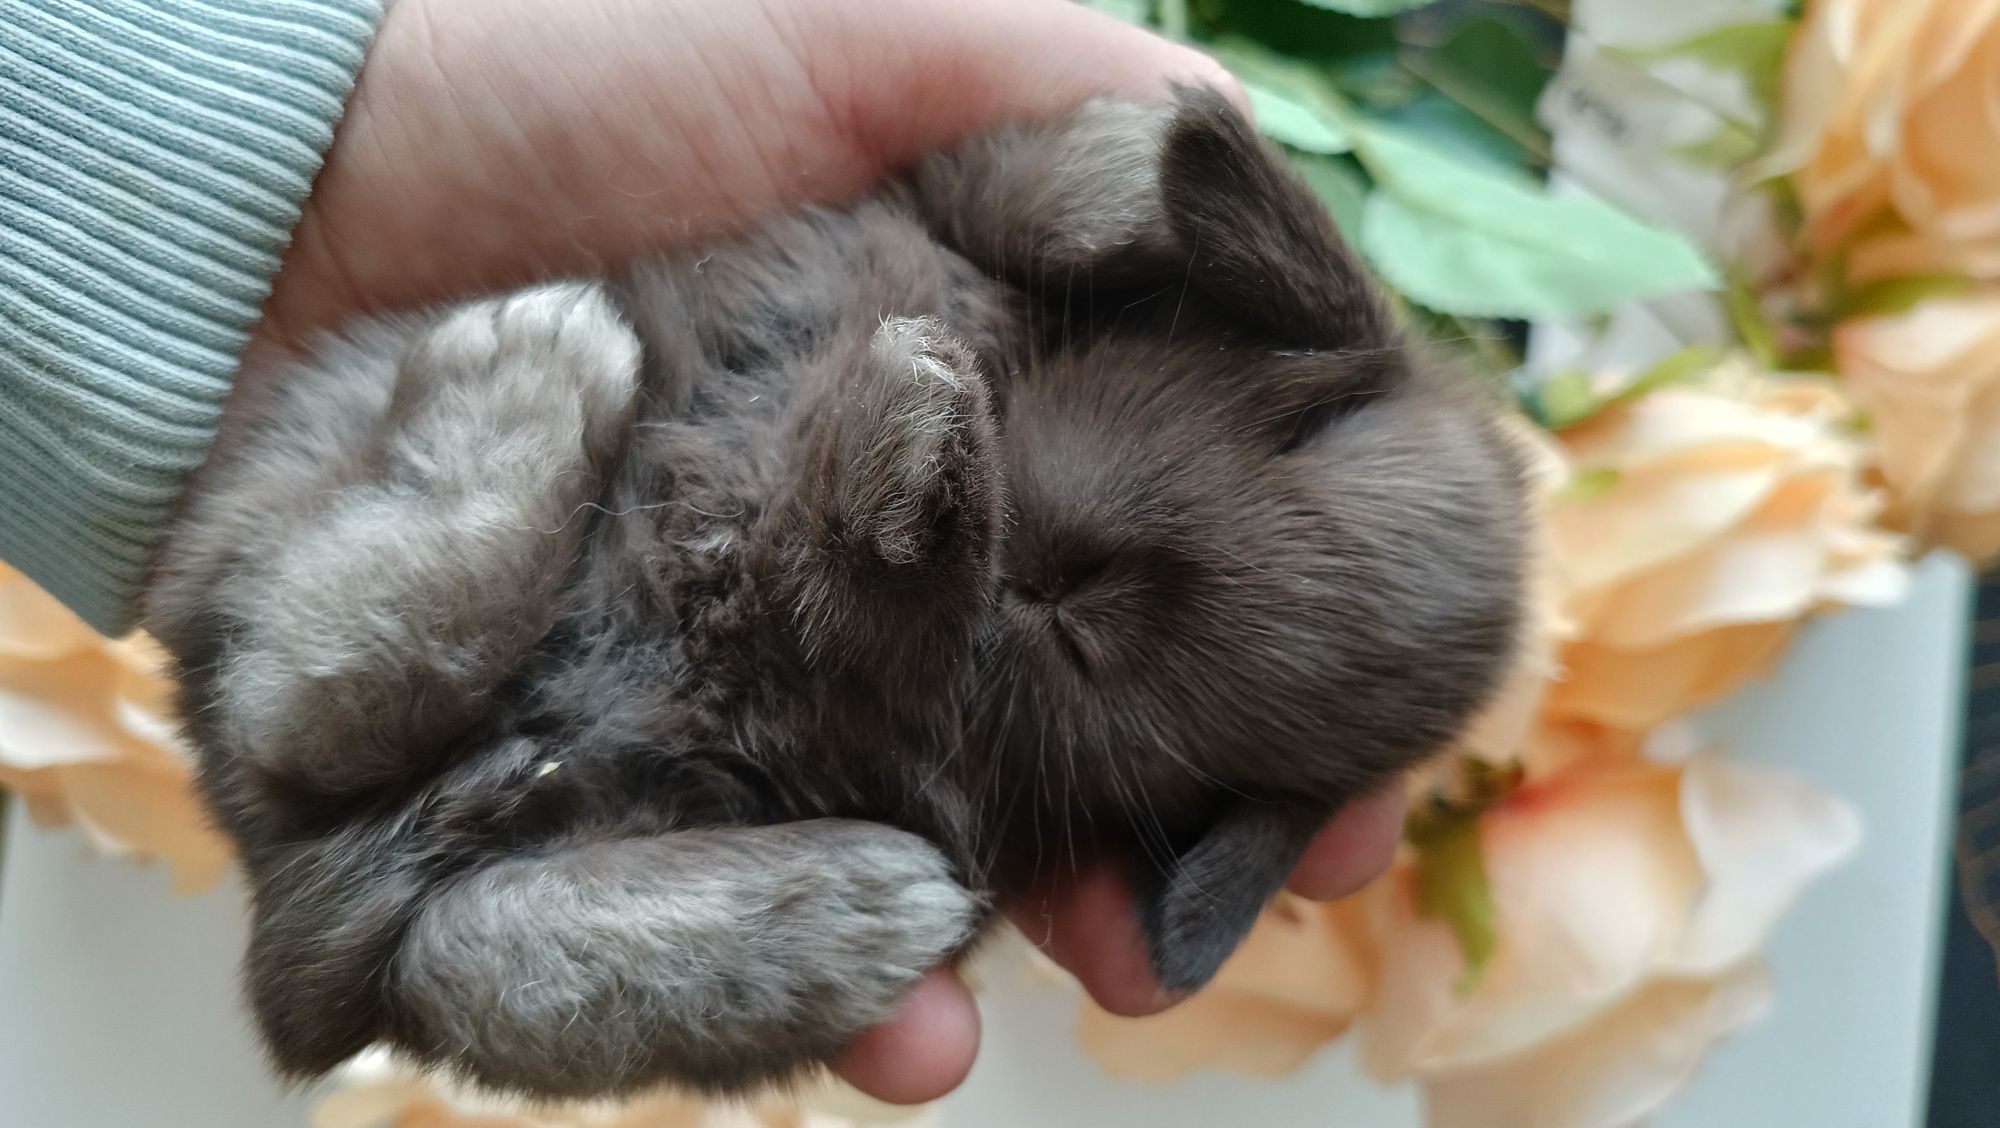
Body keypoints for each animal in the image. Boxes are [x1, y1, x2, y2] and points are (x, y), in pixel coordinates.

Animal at [141, 90, 1520, 1104]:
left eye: (1076, 636)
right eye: (1301, 428)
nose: (1046, 562)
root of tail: (290, 888)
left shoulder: (922, 718)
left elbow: (868, 585)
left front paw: (913, 432)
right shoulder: (964, 195)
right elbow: (1048, 192)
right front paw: (1165, 154)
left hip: (492, 924)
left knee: (423, 881)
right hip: (301, 465)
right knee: (301, 685)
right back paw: (543, 360)